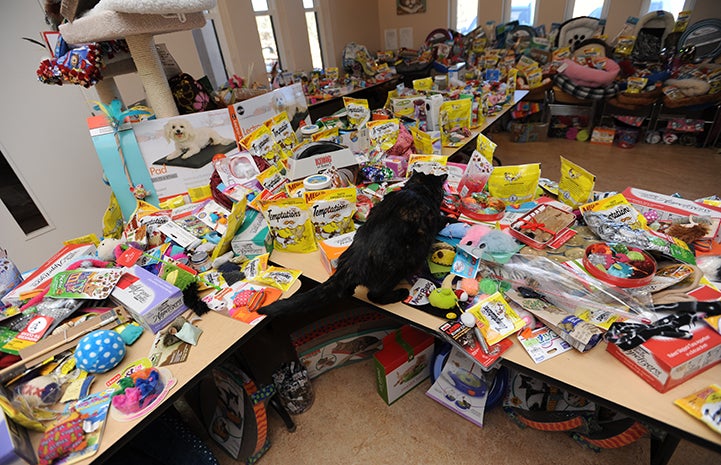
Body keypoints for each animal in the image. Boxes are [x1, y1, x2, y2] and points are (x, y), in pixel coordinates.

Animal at [260, 169, 444, 318]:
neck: (417, 190)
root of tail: (353, 264)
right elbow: (440, 221)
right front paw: (446, 219)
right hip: (400, 266)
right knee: (374, 295)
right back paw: (399, 294)